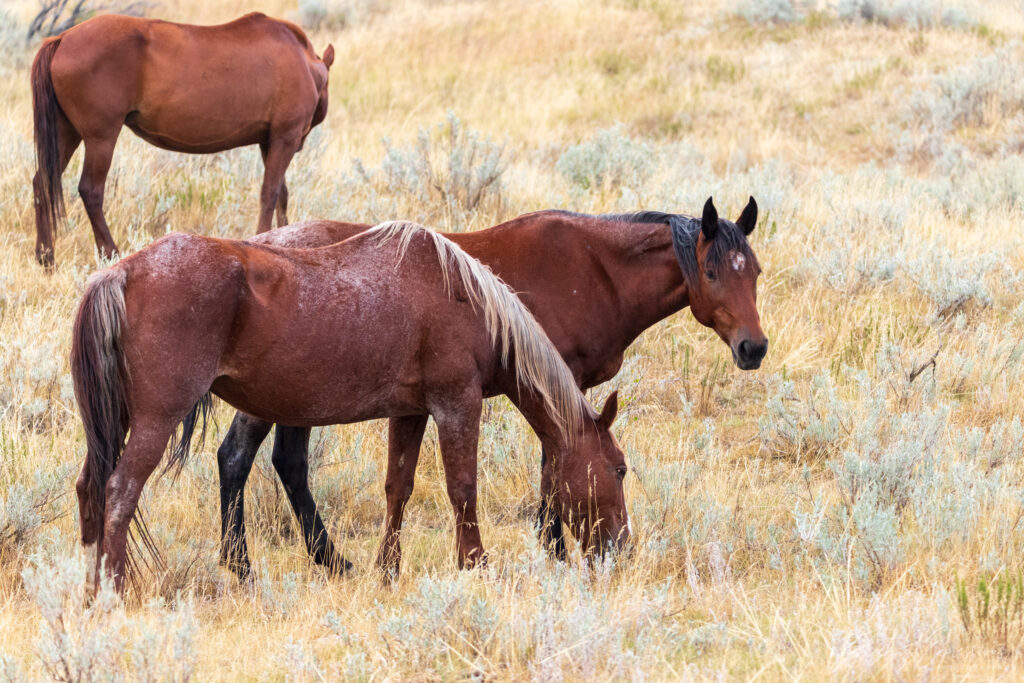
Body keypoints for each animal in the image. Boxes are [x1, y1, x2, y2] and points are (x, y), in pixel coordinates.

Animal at [30, 12, 335, 266]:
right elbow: (269, 194)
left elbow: (281, 194)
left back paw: (46, 257)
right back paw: (110, 252)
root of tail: (62, 38)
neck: (305, 62)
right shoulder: (285, 138)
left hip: (67, 133)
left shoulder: (268, 142)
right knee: (91, 190)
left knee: (41, 183)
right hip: (101, 137)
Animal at [70, 220, 630, 593]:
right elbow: (462, 488)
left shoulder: (411, 412)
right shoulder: (456, 404)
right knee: (120, 491)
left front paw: (388, 569)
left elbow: (398, 487)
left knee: (92, 489)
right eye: (620, 469)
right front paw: (476, 564)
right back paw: (113, 591)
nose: (621, 549)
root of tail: (123, 273)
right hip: (156, 421)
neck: (461, 296)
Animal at [218, 194, 770, 581]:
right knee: (238, 458)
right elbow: (549, 472)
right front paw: (552, 550)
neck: (596, 269)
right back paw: (248, 563)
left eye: (757, 272)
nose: (754, 348)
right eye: (712, 271)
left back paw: (327, 561)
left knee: (286, 464)